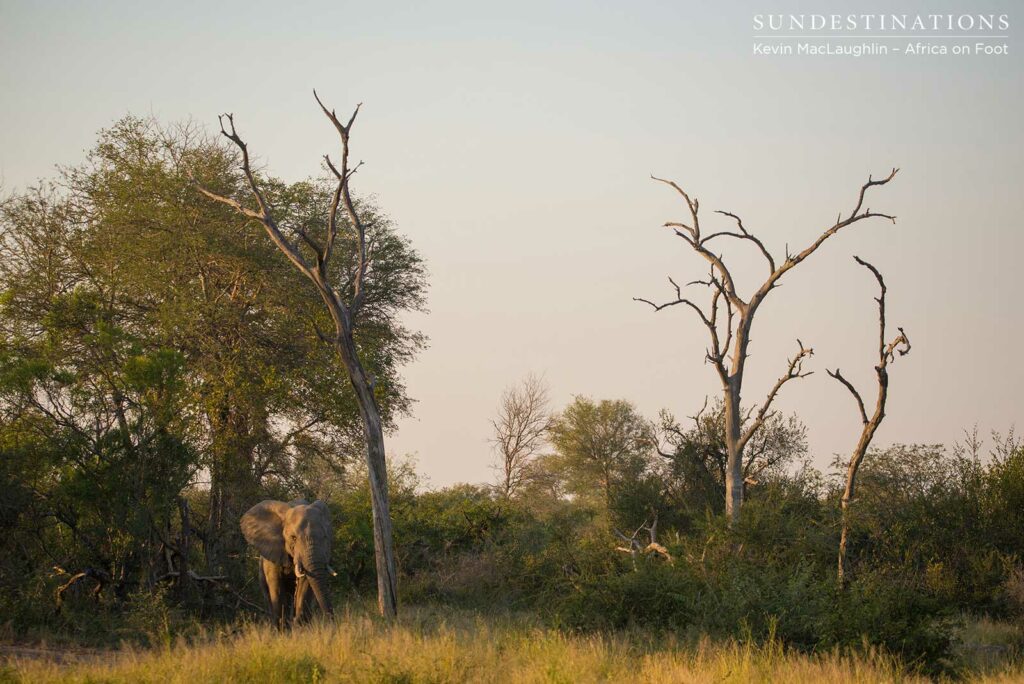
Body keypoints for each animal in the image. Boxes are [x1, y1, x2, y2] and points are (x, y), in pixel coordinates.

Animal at [240, 499, 335, 628]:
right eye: (293, 538)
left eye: (325, 537)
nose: (333, 623)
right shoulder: (273, 551)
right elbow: (277, 585)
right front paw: (283, 628)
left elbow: (304, 584)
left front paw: (300, 625)